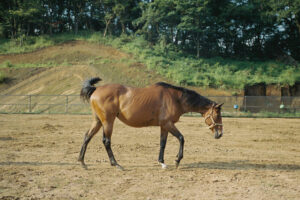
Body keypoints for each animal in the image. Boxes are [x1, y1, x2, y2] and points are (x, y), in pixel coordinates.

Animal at [77, 77, 223, 170]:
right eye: (217, 115)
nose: (220, 134)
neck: (175, 98)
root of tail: (96, 90)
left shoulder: (164, 126)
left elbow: (163, 143)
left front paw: (162, 163)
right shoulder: (168, 124)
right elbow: (181, 138)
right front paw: (177, 160)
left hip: (98, 121)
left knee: (87, 137)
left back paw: (82, 162)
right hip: (108, 121)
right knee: (106, 141)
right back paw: (116, 164)